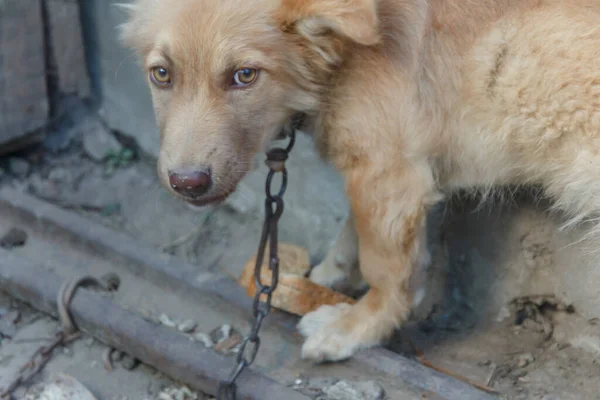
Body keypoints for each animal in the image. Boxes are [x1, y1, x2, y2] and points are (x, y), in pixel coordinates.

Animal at [120, 0, 600, 362]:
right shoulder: (375, 167)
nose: (187, 183)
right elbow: (352, 228)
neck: (342, 53)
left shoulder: (391, 175)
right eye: (161, 74)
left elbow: (386, 268)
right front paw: (328, 274)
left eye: (245, 75)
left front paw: (355, 327)